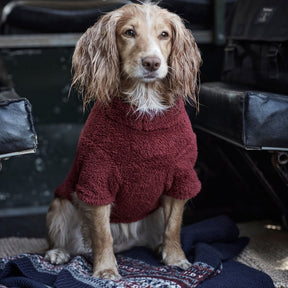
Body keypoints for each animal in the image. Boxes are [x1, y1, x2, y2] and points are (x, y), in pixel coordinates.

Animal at [45, 1, 202, 280]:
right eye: (129, 32)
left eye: (165, 35)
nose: (152, 62)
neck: (145, 103)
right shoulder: (97, 179)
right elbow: (102, 235)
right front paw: (106, 269)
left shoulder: (181, 178)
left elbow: (173, 227)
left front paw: (176, 259)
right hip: (60, 205)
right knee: (64, 241)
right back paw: (58, 253)